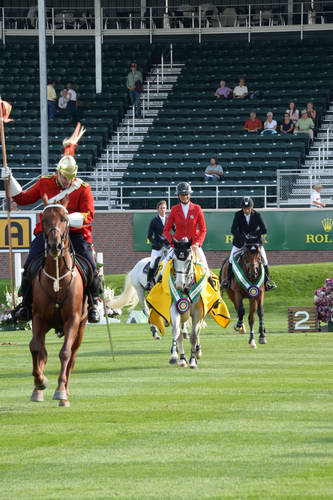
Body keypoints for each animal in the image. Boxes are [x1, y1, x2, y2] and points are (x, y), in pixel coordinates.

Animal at [29, 203, 87, 406]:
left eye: (64, 218)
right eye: (44, 219)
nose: (55, 246)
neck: (56, 276)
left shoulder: (73, 320)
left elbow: (65, 353)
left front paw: (60, 391)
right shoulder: (38, 318)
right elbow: (36, 348)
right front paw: (40, 382)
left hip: (81, 327)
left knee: (73, 356)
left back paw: (65, 390)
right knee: (41, 350)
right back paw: (37, 389)